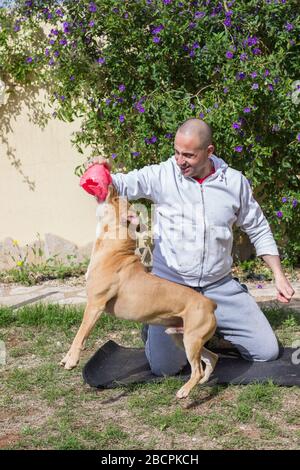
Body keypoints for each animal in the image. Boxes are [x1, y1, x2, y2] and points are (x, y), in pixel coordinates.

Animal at [61, 185, 219, 398]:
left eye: (117, 199)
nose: (112, 185)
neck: (114, 250)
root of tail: (210, 304)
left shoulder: (95, 305)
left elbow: (80, 334)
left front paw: (72, 360)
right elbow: (79, 335)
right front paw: (67, 357)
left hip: (191, 339)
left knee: (197, 369)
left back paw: (185, 390)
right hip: (184, 337)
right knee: (212, 358)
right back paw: (202, 382)